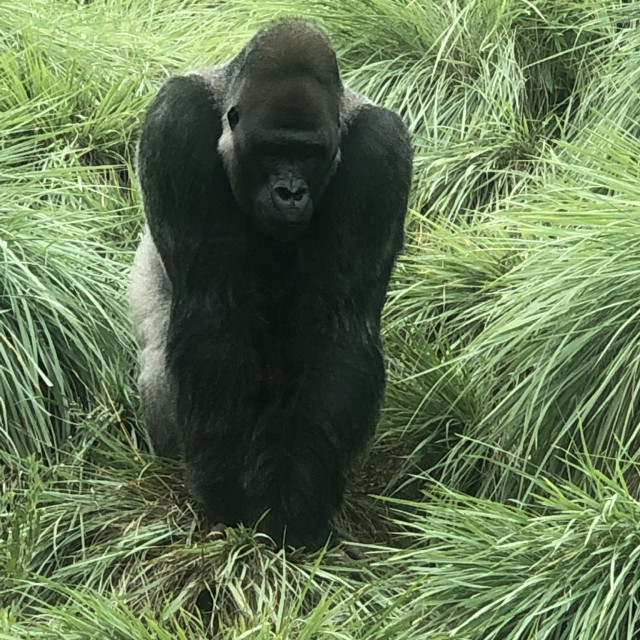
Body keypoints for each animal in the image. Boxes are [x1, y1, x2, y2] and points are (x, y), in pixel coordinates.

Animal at [130, 18, 412, 552]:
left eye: (309, 154)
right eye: (271, 150)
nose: (290, 192)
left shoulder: (381, 152)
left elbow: (337, 324)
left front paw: (295, 513)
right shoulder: (177, 121)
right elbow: (215, 308)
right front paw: (227, 499)